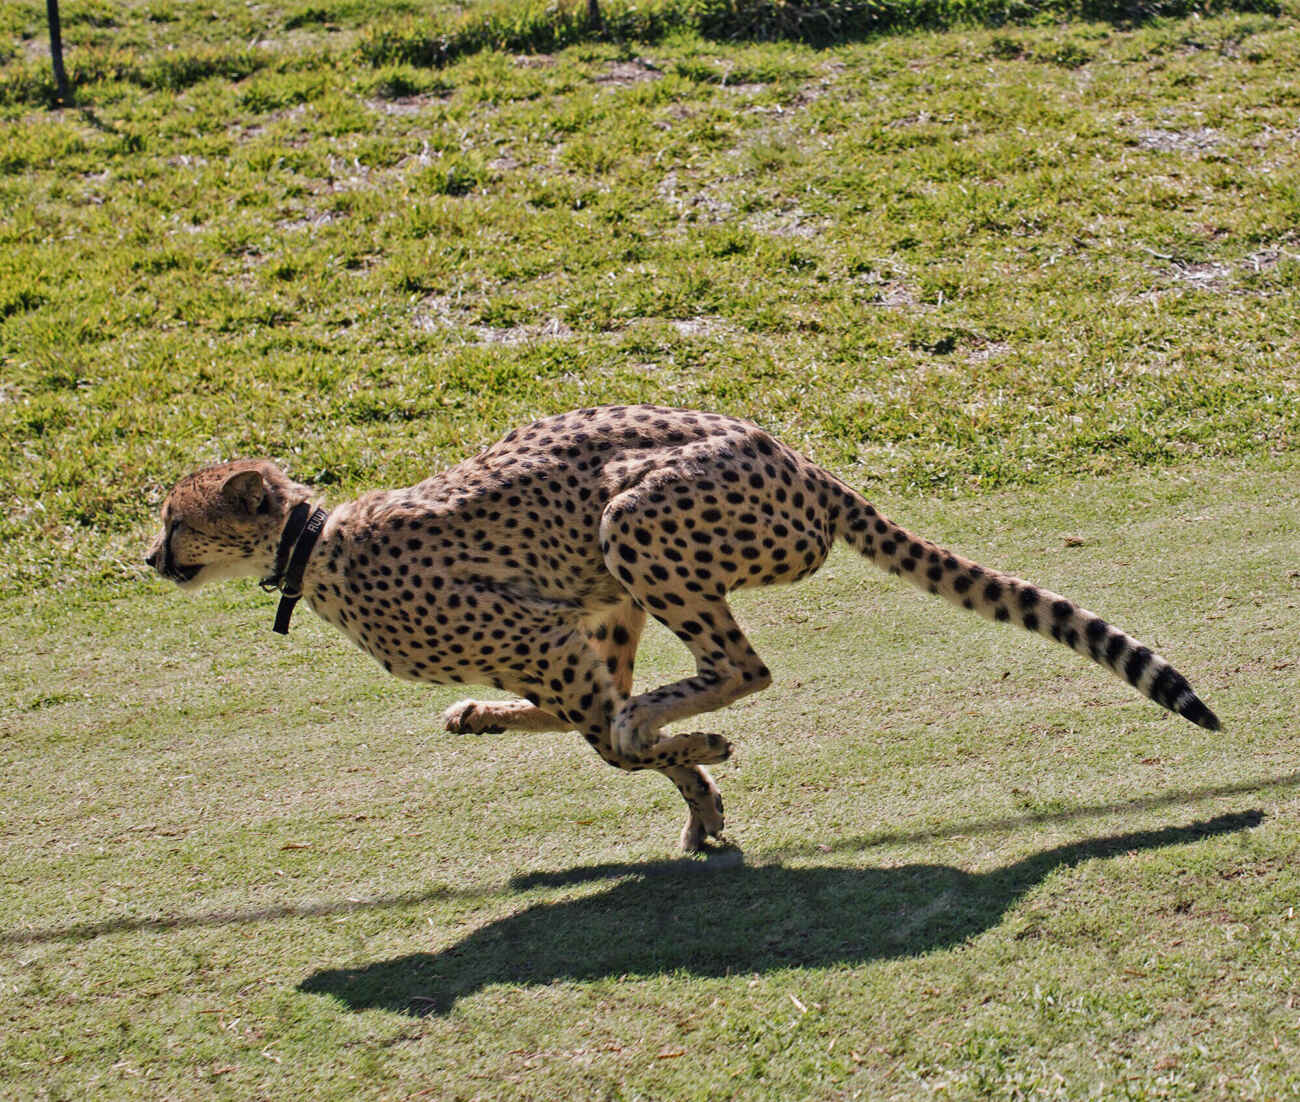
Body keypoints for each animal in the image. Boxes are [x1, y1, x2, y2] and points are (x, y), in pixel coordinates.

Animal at [147, 405, 1222, 852]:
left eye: (174, 519)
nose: (149, 560)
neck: (312, 545)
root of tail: (797, 456)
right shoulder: (582, 625)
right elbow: (582, 721)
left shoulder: (547, 637)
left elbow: (612, 742)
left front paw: (699, 769)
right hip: (623, 564)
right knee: (692, 673)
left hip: (634, 519)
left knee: (739, 666)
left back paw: (683, 718)